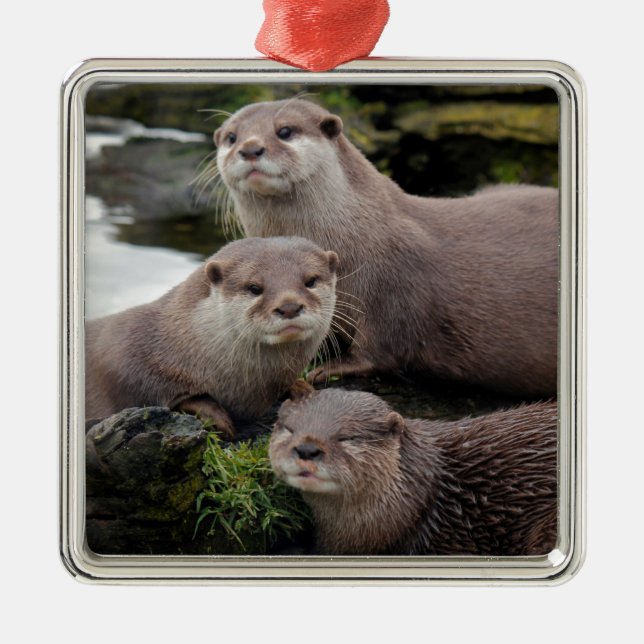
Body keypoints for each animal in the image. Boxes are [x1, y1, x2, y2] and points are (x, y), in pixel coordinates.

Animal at [85, 236, 338, 436]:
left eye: (310, 281)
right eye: (254, 288)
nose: (289, 307)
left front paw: (300, 389)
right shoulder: (126, 362)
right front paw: (216, 416)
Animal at [213, 99, 558, 397]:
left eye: (284, 131)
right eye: (231, 136)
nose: (250, 148)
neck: (358, 236)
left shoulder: (397, 285)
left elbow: (382, 346)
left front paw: (331, 368)